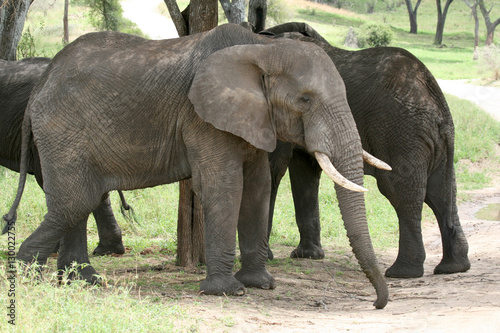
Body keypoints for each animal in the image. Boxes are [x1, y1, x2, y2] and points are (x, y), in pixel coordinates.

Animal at [264, 22, 470, 278]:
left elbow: (273, 166)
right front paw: (307, 256)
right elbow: (304, 171)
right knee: (441, 193)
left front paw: (269, 257)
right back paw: (453, 267)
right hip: (434, 142)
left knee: (402, 191)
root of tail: (437, 101)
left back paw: (401, 272)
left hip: (400, 132)